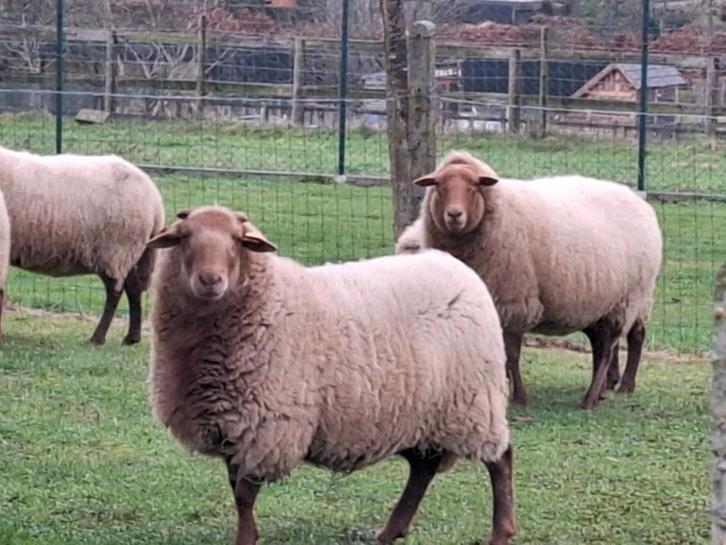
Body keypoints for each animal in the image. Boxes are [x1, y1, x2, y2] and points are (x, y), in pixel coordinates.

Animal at [0, 145, 165, 345]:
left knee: (115, 292)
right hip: (129, 253)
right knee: (133, 288)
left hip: (117, 250)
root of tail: (154, 198)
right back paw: (132, 337)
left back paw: (97, 338)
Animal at [148, 205, 516, 545]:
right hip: (422, 412)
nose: (210, 281)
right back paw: (391, 531)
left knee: (500, 459)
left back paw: (501, 532)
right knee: (423, 468)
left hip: (472, 403)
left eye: (238, 241)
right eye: (184, 237)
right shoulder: (233, 425)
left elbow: (243, 495)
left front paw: (246, 538)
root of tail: (460, 270)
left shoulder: (267, 426)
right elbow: (235, 490)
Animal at [410, 150, 662, 410]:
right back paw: (607, 388)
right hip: (598, 305)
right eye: (439, 186)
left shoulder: (513, 303)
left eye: (474, 186)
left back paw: (598, 395)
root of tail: (640, 201)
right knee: (606, 344)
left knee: (617, 344)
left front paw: (519, 397)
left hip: (628, 299)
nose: (454, 215)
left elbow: (511, 354)